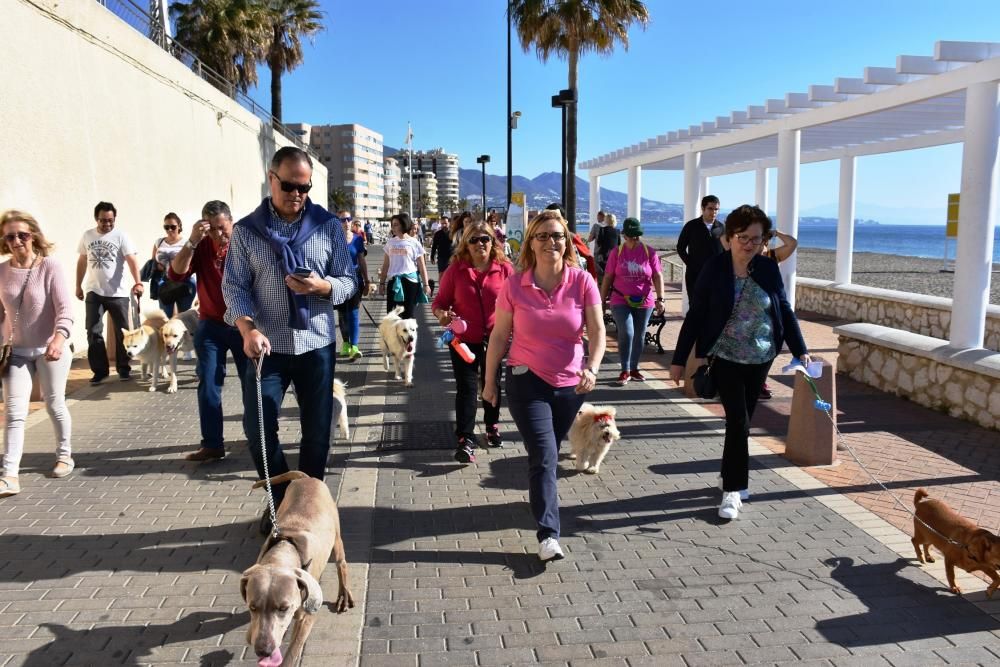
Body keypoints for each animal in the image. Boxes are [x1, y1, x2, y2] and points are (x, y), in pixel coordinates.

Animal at [240, 472, 354, 664]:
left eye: (283, 608)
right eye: (252, 607)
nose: (264, 651)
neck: (284, 551)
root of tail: (307, 478)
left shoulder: (306, 617)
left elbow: (292, 653)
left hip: (336, 537)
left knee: (341, 564)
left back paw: (343, 594)